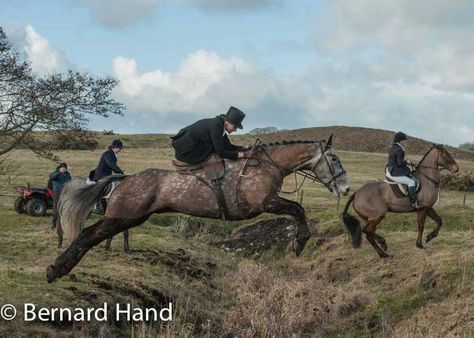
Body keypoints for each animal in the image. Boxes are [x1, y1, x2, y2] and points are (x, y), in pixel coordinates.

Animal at [47, 135, 352, 282]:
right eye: (334, 158)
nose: (346, 189)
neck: (267, 165)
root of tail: (122, 180)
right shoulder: (264, 203)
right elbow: (298, 209)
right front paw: (299, 243)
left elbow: (298, 209)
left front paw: (298, 243)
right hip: (122, 216)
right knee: (87, 234)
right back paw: (56, 269)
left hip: (130, 218)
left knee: (93, 235)